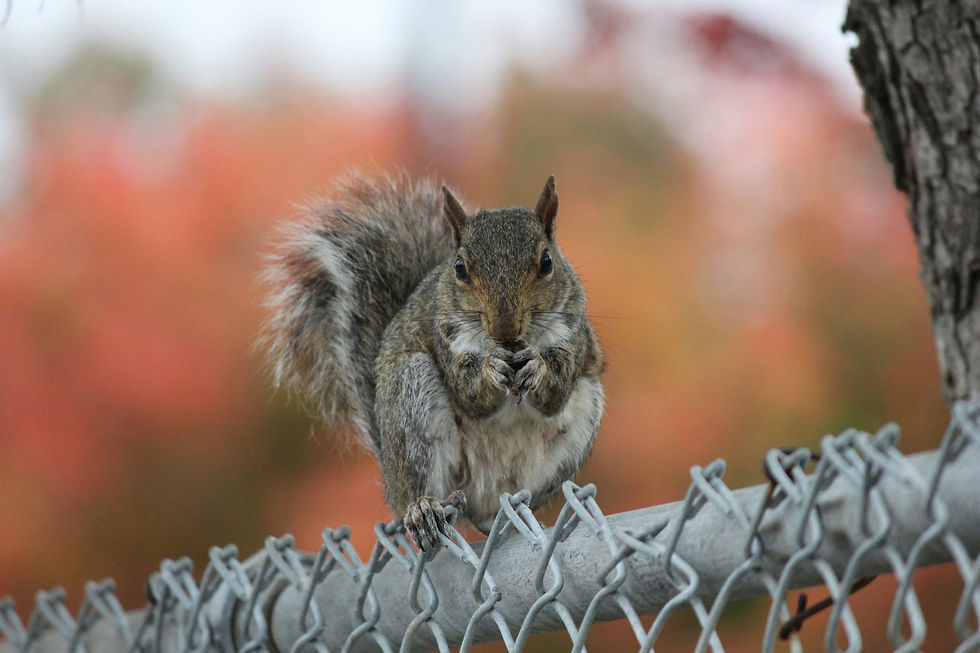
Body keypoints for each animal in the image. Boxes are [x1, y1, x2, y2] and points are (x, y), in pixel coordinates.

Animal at [262, 171, 604, 551]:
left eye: (547, 262)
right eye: (460, 268)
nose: (504, 329)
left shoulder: (574, 335)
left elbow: (555, 394)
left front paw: (538, 367)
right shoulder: (446, 339)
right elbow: (472, 396)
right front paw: (489, 370)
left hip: (576, 431)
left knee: (495, 512)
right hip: (411, 400)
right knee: (418, 490)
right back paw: (422, 509)